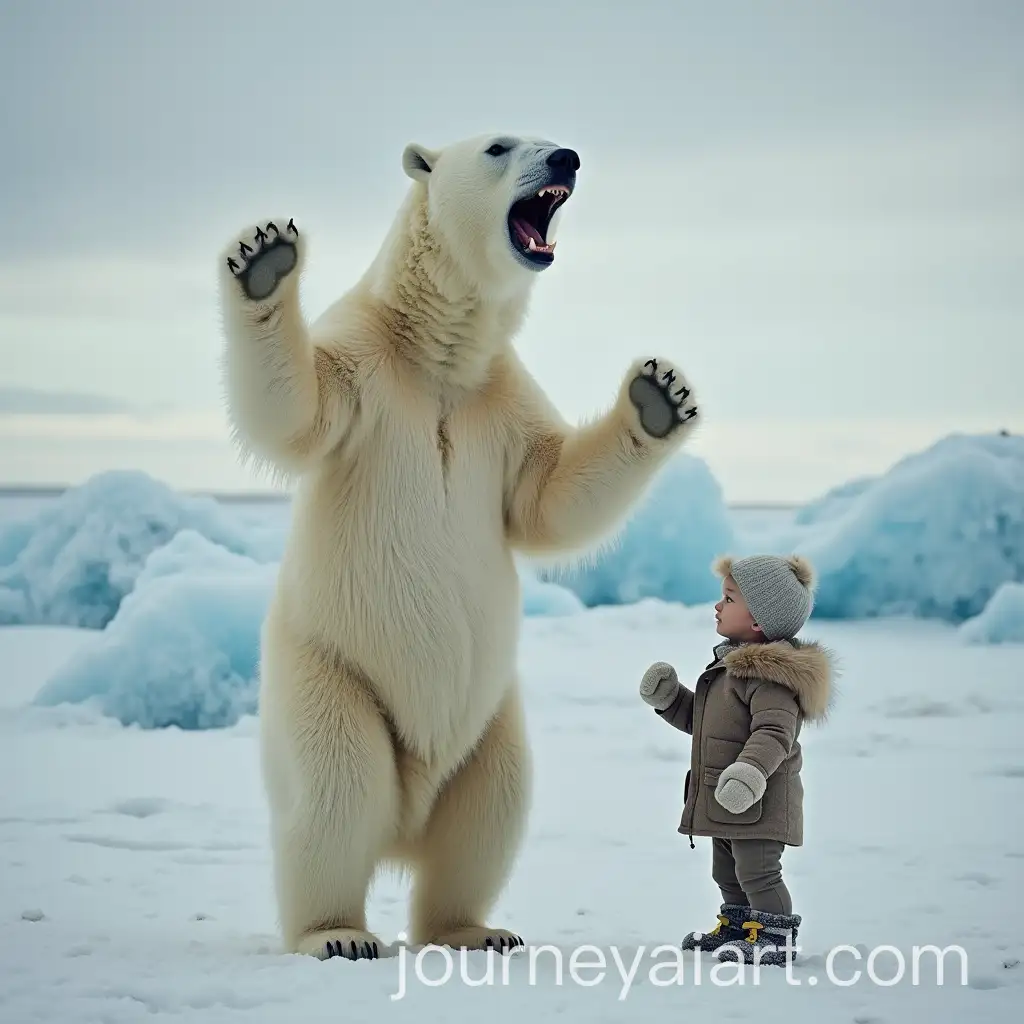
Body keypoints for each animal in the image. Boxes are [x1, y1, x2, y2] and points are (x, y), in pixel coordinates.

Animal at [216, 132, 702, 961]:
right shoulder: (365, 369)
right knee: (338, 786)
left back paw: (475, 929)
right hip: (329, 672)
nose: (566, 158)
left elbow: (549, 498)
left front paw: (659, 396)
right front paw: (265, 259)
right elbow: (296, 411)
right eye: (500, 146)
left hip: (490, 715)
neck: (435, 354)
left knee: (491, 803)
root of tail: (403, 825)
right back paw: (336, 933)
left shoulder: (499, 402)